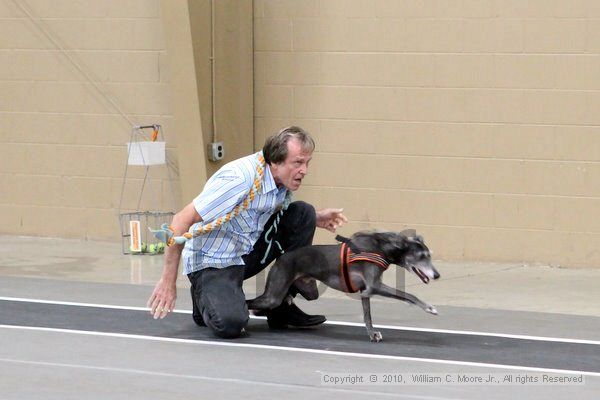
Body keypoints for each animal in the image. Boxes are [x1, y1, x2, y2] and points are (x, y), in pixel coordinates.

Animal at [248, 230, 440, 342]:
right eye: (421, 256)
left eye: (429, 255)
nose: (437, 275)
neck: (381, 247)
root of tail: (281, 257)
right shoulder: (374, 286)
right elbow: (409, 295)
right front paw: (429, 308)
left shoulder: (365, 291)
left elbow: (367, 316)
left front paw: (372, 334)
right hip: (273, 296)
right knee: (250, 301)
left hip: (307, 289)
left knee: (281, 299)